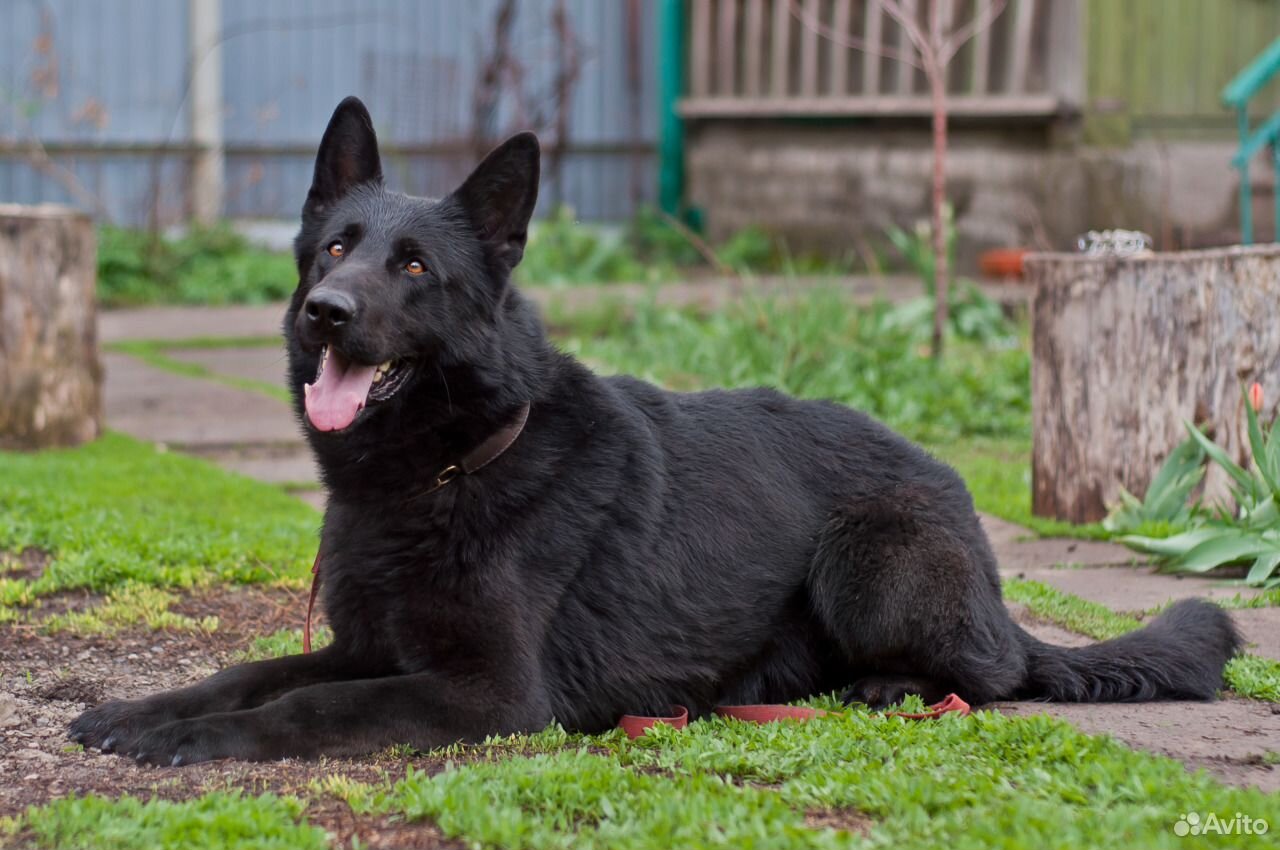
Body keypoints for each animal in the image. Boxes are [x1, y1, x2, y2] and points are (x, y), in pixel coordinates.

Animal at [70, 97, 1239, 762]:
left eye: (411, 267)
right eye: (334, 249)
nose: (325, 313)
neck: (447, 469)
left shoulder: (486, 696)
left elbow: (304, 709)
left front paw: (195, 740)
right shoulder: (363, 646)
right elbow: (257, 672)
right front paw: (148, 709)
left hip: (874, 558)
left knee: (995, 676)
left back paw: (897, 684)